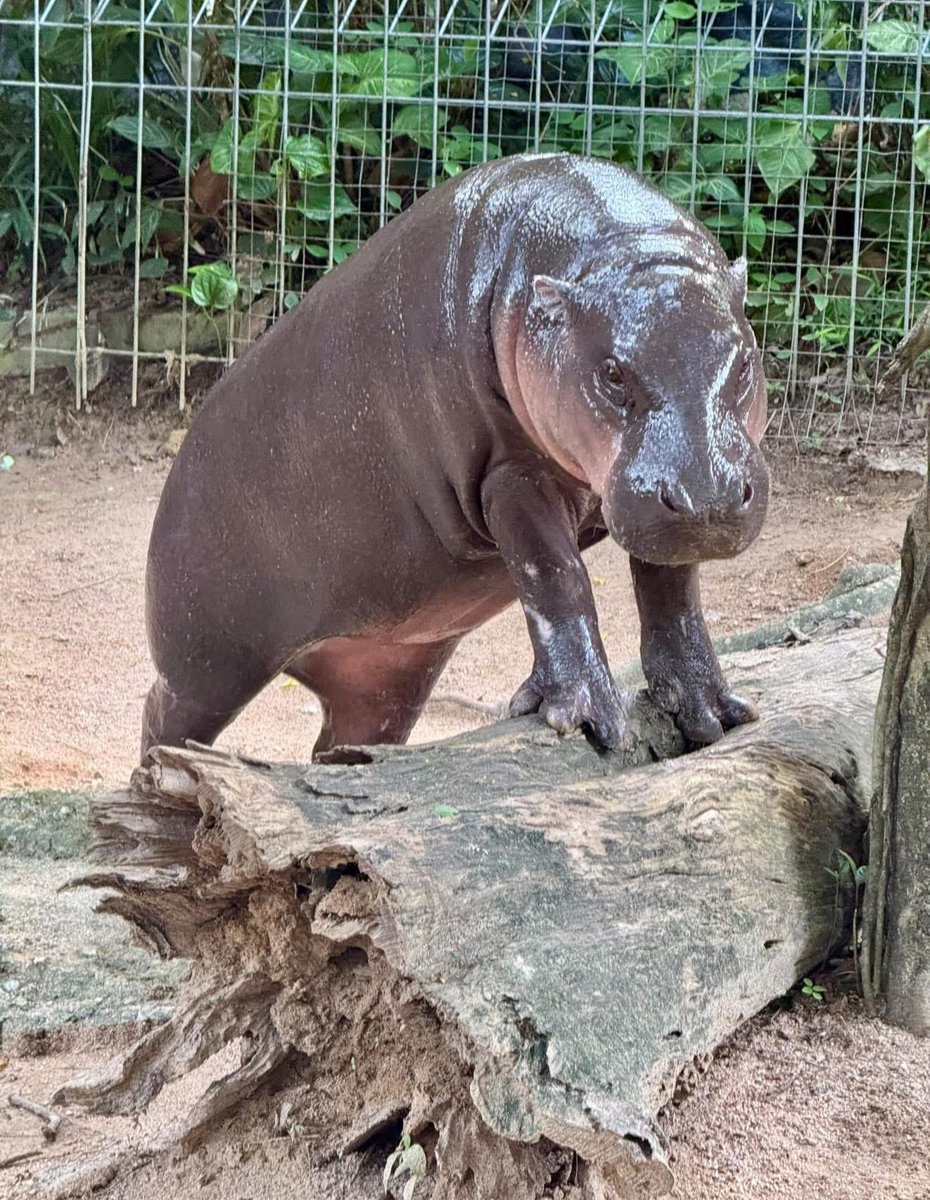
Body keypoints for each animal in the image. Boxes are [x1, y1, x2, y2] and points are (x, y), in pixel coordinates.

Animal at [142, 152, 769, 763]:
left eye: (745, 359)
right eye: (613, 372)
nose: (709, 498)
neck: (619, 250)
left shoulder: (654, 512)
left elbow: (674, 593)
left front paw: (712, 712)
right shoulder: (510, 477)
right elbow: (556, 576)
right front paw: (586, 718)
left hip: (388, 674)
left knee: (344, 744)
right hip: (208, 662)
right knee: (163, 713)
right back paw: (159, 772)